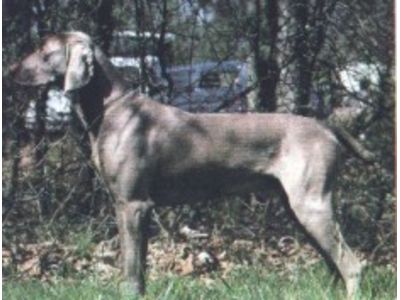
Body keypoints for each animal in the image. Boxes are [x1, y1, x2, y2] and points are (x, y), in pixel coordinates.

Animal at [11, 31, 368, 298]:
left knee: (351, 265)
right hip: (296, 208)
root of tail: (326, 126)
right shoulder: (136, 208)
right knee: (335, 264)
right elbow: (139, 268)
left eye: (43, 50)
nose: (10, 69)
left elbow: (131, 269)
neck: (112, 109)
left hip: (311, 204)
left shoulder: (133, 204)